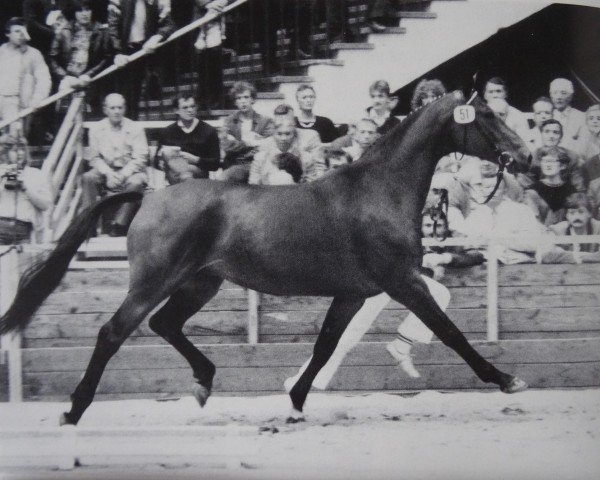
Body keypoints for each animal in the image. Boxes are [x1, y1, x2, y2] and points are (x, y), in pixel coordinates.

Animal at [3, 92, 528, 426]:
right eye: (486, 116)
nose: (523, 155)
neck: (378, 192)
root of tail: (149, 196)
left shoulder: (353, 294)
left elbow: (325, 345)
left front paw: (295, 402)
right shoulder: (402, 282)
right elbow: (451, 332)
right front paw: (506, 379)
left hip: (200, 283)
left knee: (165, 324)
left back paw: (204, 382)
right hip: (154, 281)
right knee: (113, 332)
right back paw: (74, 410)